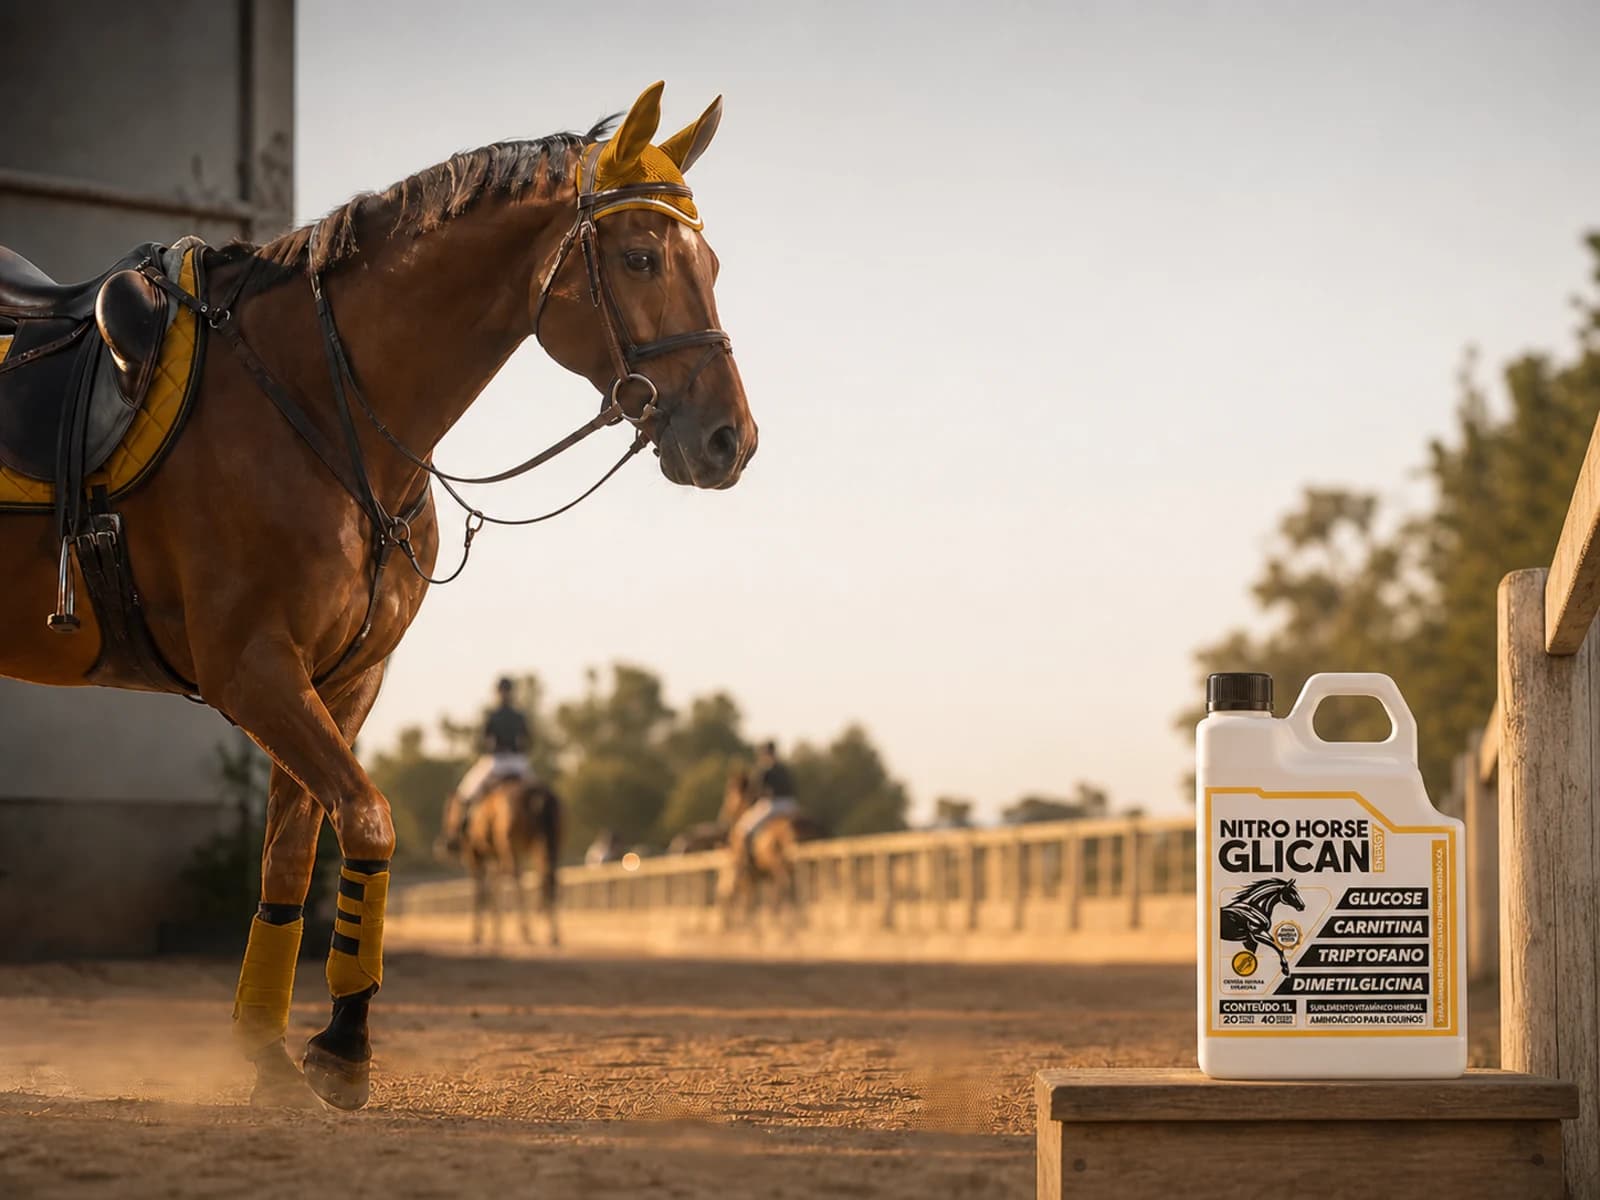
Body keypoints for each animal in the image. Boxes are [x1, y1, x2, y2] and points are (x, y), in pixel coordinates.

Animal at [440, 778, 562, 949]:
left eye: (446, 810)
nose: (448, 844)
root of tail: (537, 796)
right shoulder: (494, 858)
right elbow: (494, 887)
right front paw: (496, 935)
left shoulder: (474, 856)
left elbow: (481, 890)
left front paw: (478, 935)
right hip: (547, 844)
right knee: (549, 877)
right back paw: (552, 935)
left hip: (510, 845)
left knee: (517, 877)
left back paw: (526, 931)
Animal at [716, 767, 825, 927]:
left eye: (729, 790)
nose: (723, 814)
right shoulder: (763, 875)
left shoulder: (750, 876)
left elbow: (750, 901)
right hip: (807, 866)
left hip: (781, 865)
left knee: (784, 887)